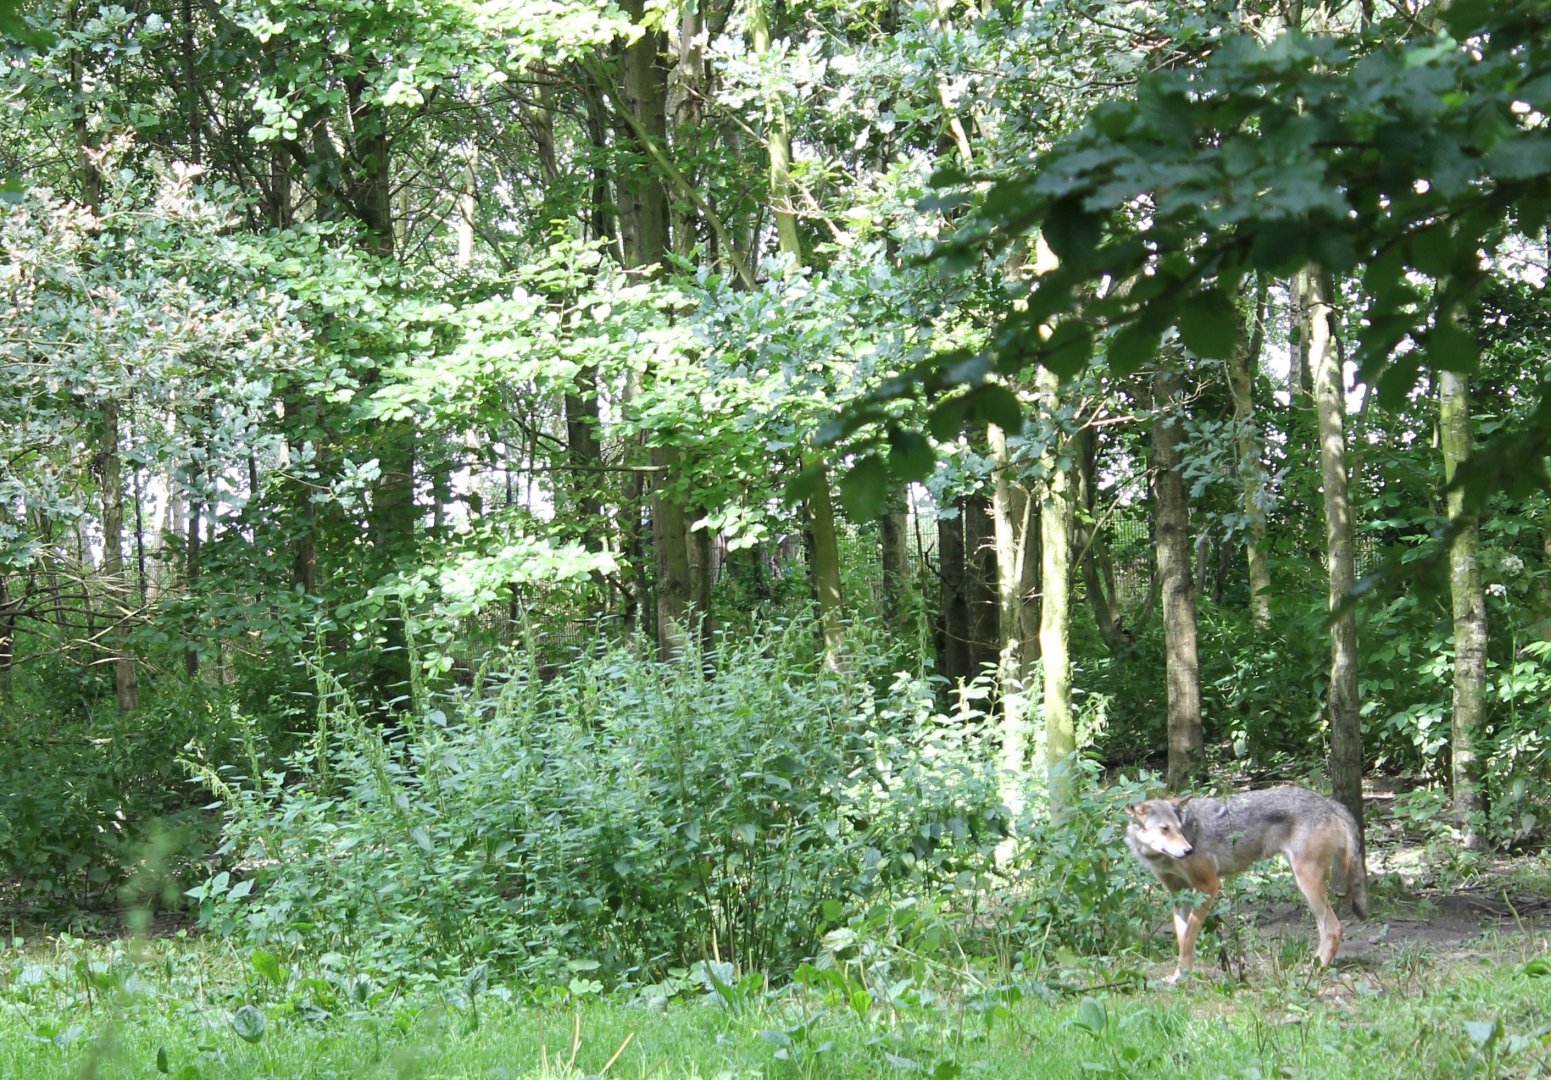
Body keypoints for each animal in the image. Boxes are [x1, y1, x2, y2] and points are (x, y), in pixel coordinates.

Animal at [1124, 786, 1368, 983]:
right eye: (1164, 829)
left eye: (1179, 828)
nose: (1188, 850)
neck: (1160, 859)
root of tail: (1330, 802)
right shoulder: (1179, 894)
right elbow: (1184, 940)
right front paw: (1180, 976)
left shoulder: (1208, 886)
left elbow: (1187, 940)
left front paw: (1182, 978)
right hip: (1305, 886)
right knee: (1325, 930)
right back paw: (1313, 966)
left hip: (1307, 883)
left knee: (1334, 929)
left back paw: (1313, 971)